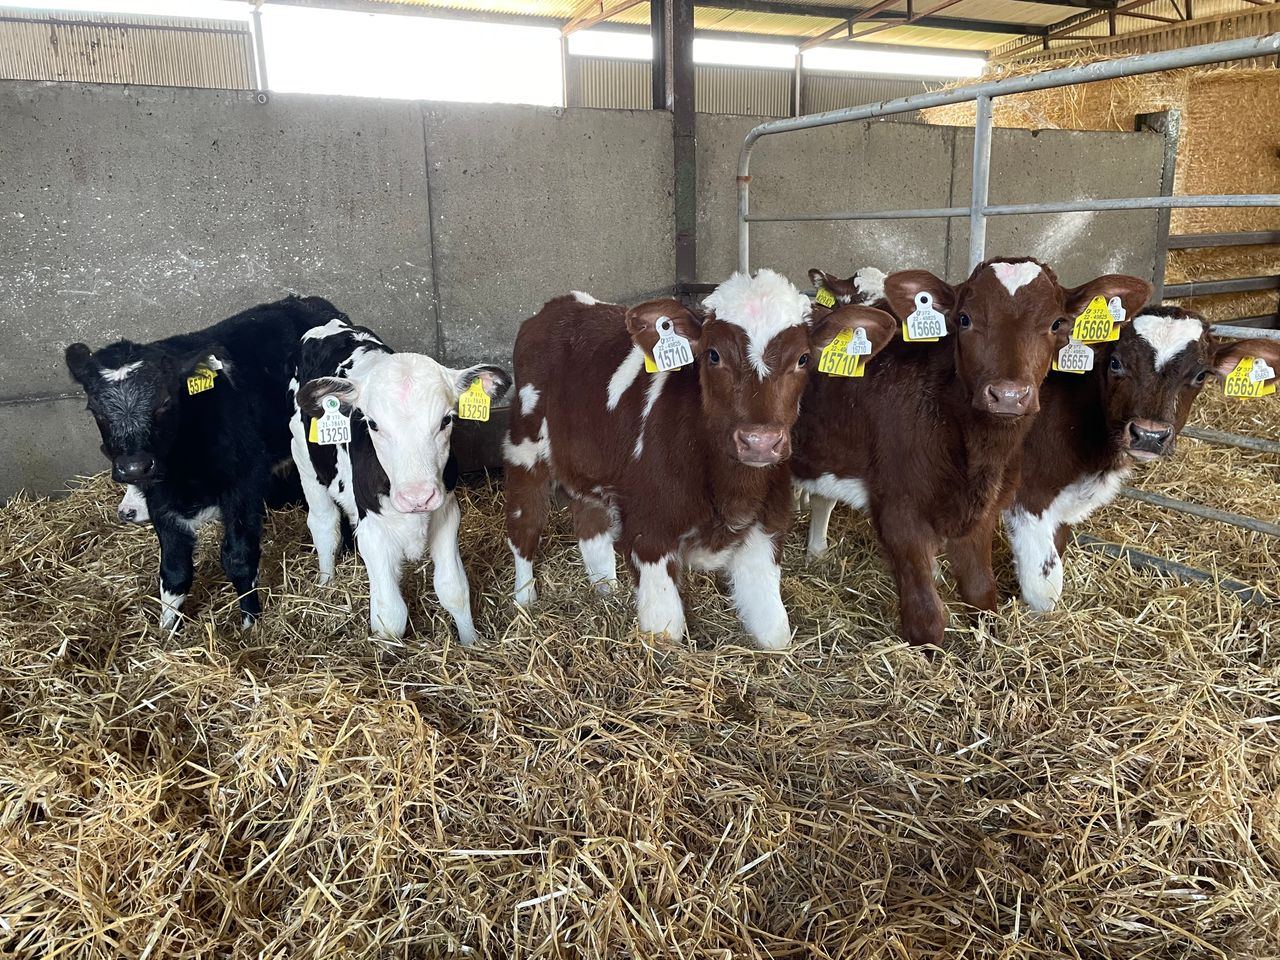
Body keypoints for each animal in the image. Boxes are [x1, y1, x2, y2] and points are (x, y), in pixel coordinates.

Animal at [65, 295, 346, 629]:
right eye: (95, 409)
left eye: (165, 401)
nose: (134, 466)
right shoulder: (159, 498)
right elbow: (174, 570)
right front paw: (167, 630)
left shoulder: (244, 481)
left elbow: (238, 557)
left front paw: (250, 623)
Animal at [290, 317, 511, 645]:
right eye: (372, 423)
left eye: (446, 420)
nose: (417, 497)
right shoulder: (372, 532)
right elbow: (389, 615)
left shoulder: (447, 513)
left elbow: (454, 589)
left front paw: (470, 643)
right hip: (304, 461)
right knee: (324, 525)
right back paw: (326, 583)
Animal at [503, 272, 899, 649]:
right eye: (713, 354)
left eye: (803, 358)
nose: (759, 441)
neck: (730, 489)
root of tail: (562, 303)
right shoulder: (650, 532)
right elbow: (666, 634)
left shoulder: (766, 529)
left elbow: (776, 633)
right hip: (523, 448)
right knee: (524, 529)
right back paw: (525, 602)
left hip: (589, 470)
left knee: (591, 530)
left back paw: (606, 592)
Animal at [794, 258, 1151, 649]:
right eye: (964, 319)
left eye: (1057, 323)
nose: (1009, 396)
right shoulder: (898, 512)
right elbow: (926, 618)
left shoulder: (982, 513)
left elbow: (981, 592)